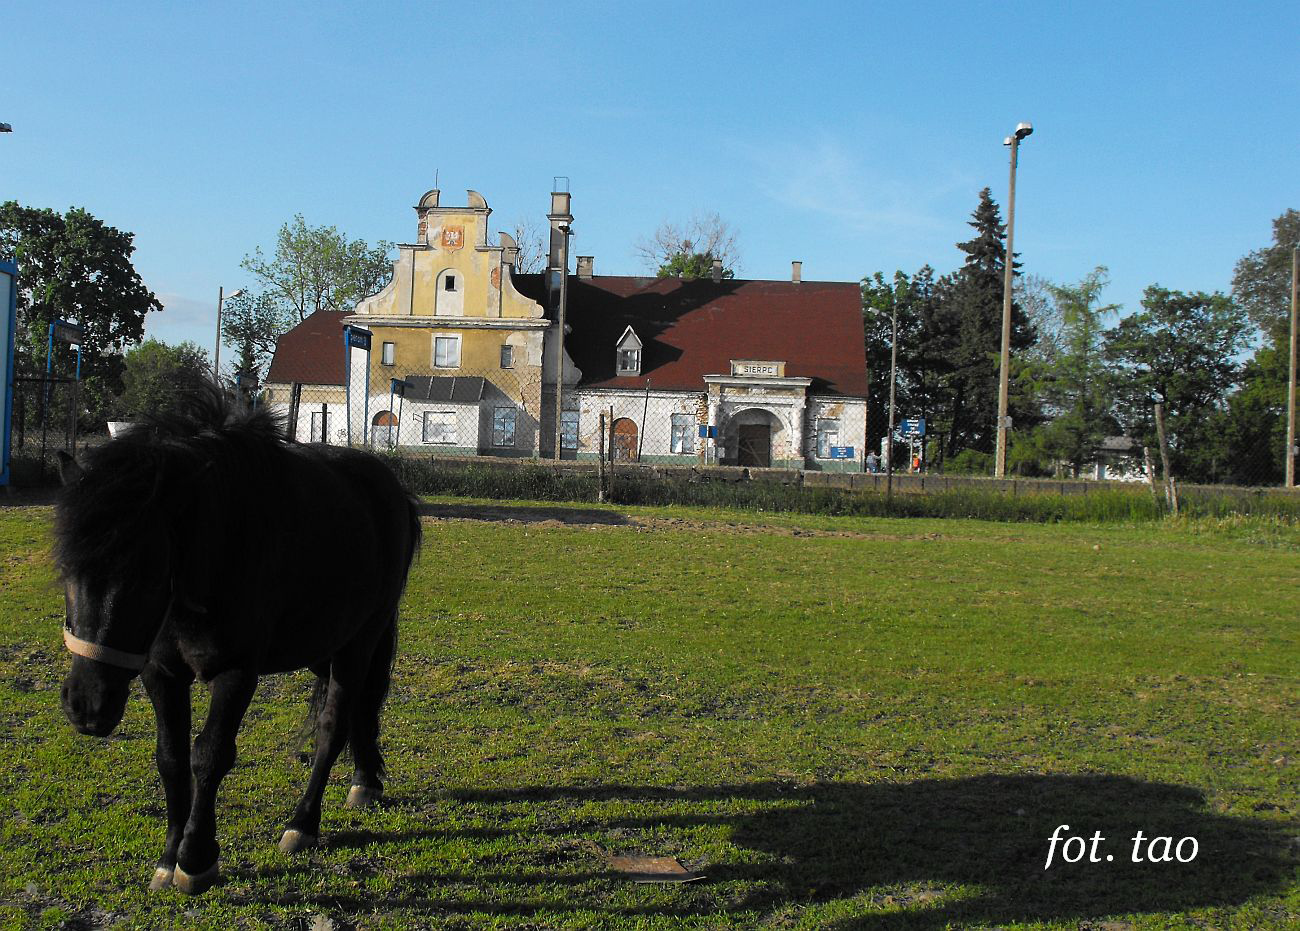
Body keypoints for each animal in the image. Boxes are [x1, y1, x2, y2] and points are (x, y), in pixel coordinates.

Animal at [54, 387, 421, 894]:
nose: (88, 705)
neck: (217, 552)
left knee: (334, 726)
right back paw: (365, 780)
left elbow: (210, 756)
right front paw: (168, 857)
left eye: (148, 572)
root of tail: (393, 489)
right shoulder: (160, 673)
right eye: (67, 568)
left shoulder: (236, 671)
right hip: (322, 646)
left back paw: (303, 823)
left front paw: (196, 860)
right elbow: (171, 757)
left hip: (359, 644)